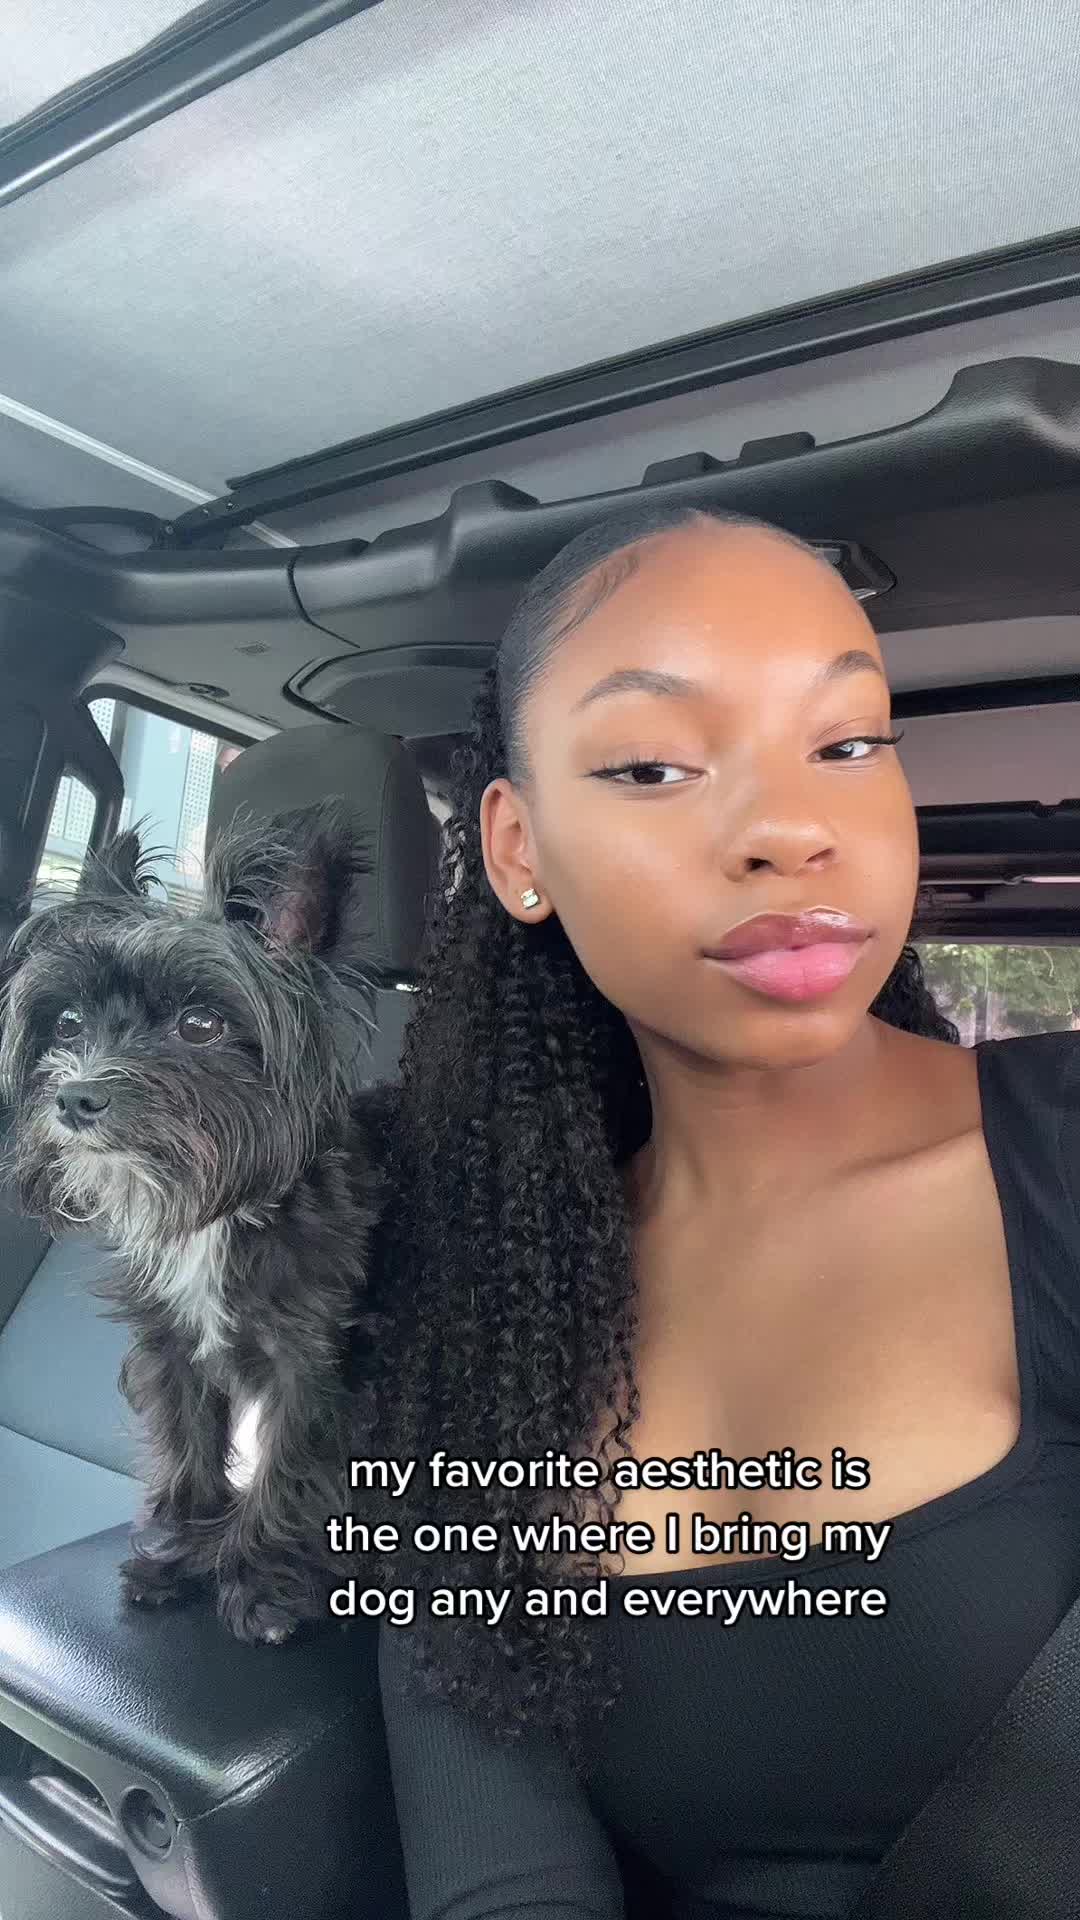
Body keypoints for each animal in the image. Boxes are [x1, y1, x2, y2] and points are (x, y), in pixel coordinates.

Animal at [0, 800, 392, 1644]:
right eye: (68, 1023)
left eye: (202, 1026)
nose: (74, 1097)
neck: (224, 1211)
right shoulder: (171, 1348)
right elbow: (188, 1449)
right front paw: (179, 1554)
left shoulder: (310, 1367)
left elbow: (286, 1470)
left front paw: (263, 1585)